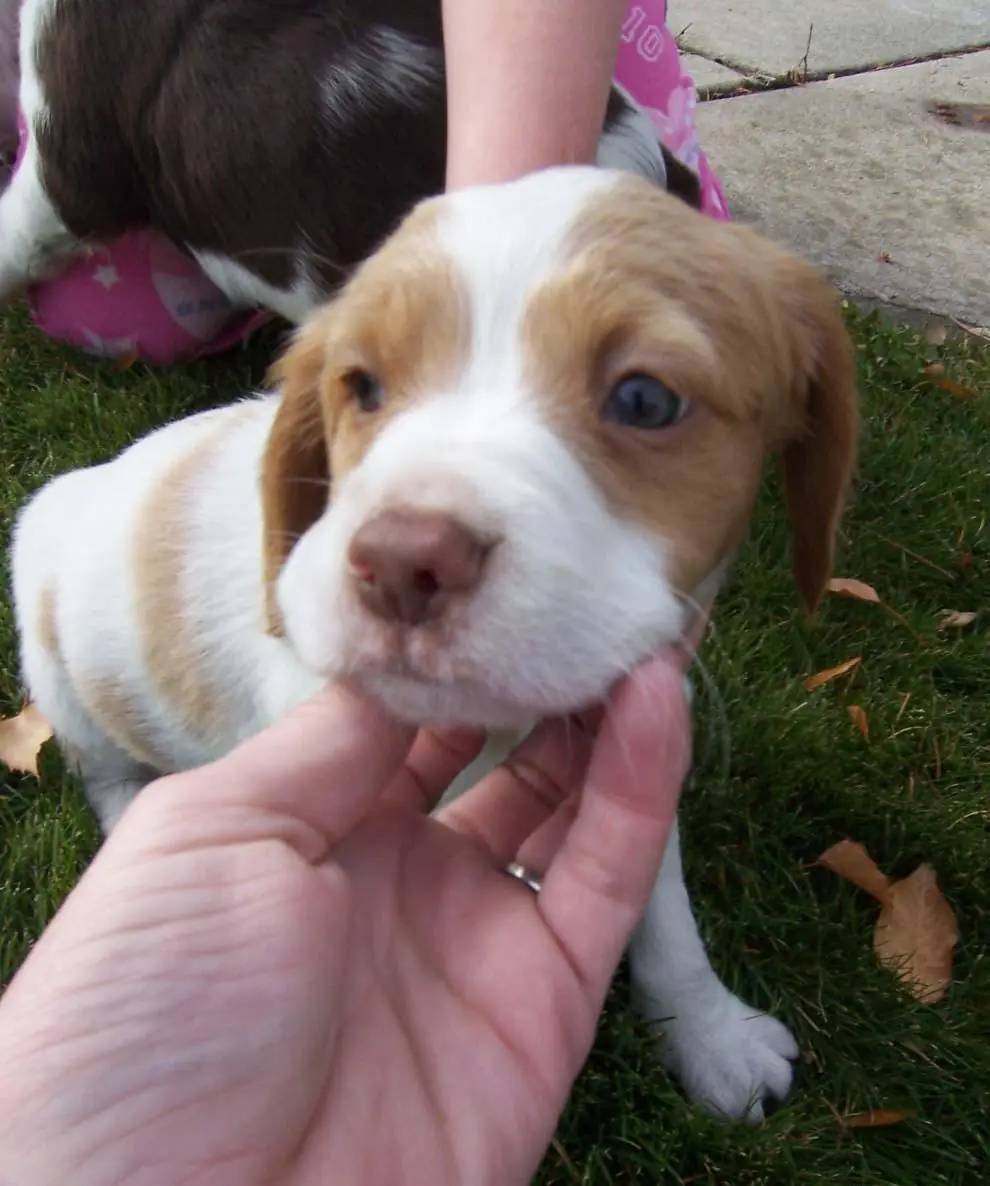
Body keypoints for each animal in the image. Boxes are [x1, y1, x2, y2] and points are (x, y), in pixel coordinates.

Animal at [11, 166, 859, 1121]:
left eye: (646, 400)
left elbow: (662, 907)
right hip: (56, 653)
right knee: (105, 770)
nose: (400, 562)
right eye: (362, 388)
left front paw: (710, 1034)